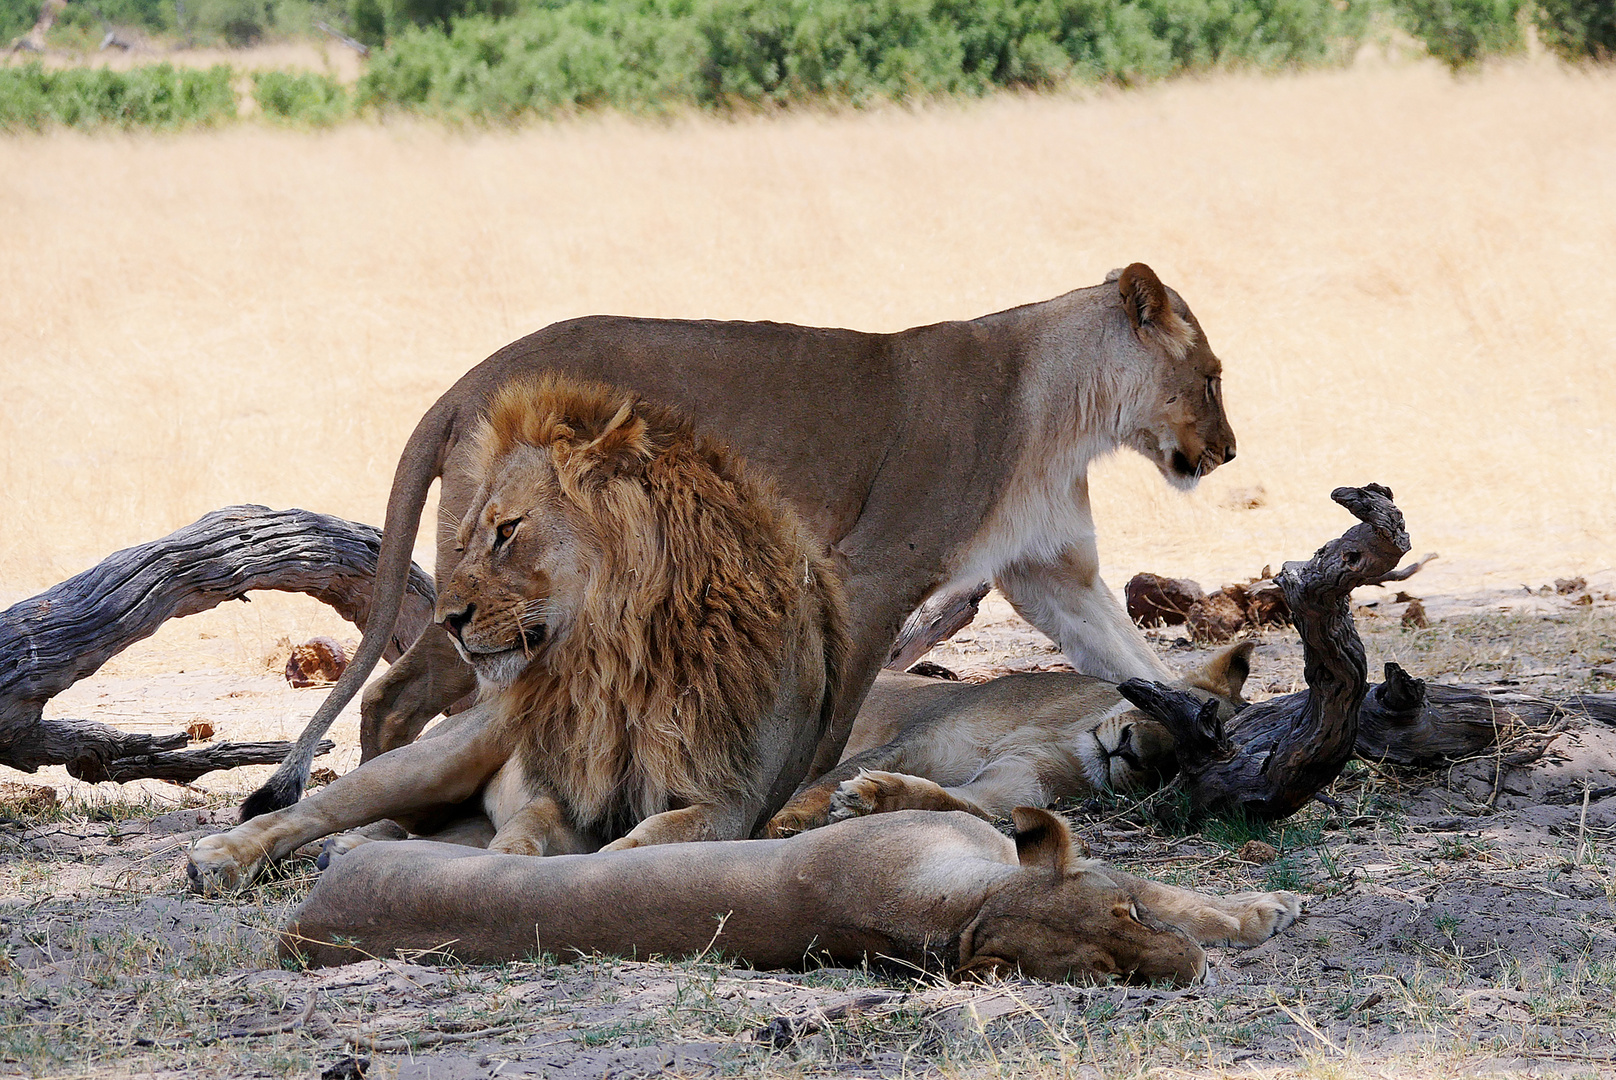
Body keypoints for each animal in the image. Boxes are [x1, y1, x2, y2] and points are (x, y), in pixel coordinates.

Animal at [185, 375, 846, 892]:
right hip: (441, 753)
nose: (447, 622)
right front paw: (509, 870)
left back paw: (352, 851)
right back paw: (223, 856)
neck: (619, 659)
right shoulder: (568, 789)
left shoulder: (732, 799)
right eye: (463, 542)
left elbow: (646, 840)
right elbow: (530, 829)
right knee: (321, 805)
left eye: (507, 530)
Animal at [248, 261, 1234, 818]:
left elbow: (1134, 657)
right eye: (1215, 377)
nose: (1228, 453)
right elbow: (831, 722)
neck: (1065, 413)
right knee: (394, 693)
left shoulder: (1053, 573)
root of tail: (465, 380)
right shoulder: (870, 571)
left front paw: (1196, 720)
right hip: (502, 603)